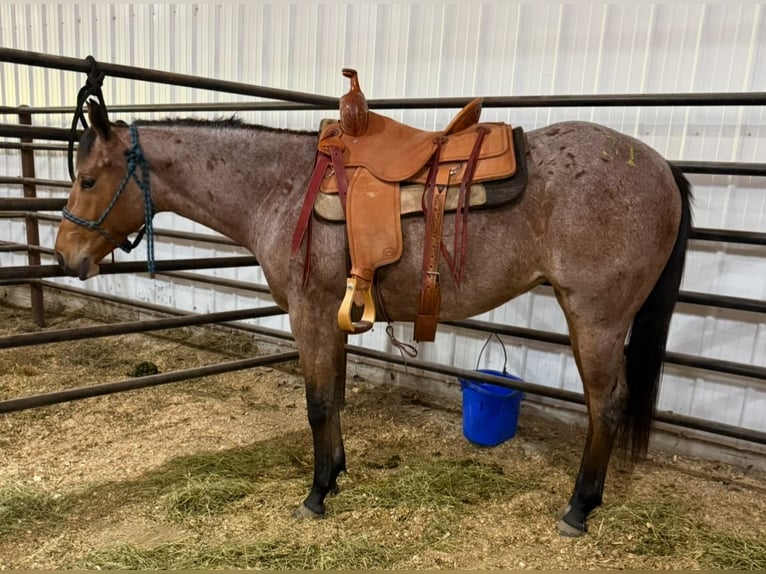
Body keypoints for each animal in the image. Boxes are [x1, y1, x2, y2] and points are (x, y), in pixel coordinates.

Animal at [54, 99, 692, 537]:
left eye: (88, 179)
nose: (64, 255)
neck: (281, 189)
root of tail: (661, 166)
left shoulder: (310, 314)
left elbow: (317, 404)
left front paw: (315, 494)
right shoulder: (331, 318)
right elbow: (334, 397)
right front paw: (335, 476)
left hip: (597, 320)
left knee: (606, 406)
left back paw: (579, 508)